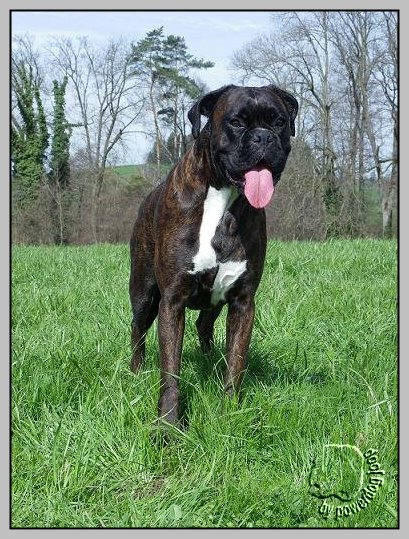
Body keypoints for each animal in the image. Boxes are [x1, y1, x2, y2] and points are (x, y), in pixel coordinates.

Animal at [129, 84, 298, 425]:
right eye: (236, 122)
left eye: (278, 122)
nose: (263, 137)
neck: (221, 198)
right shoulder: (172, 302)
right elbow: (171, 373)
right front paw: (168, 426)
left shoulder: (243, 303)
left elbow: (236, 364)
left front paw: (229, 414)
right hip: (144, 295)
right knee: (137, 331)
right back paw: (135, 373)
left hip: (214, 301)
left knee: (203, 325)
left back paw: (209, 360)